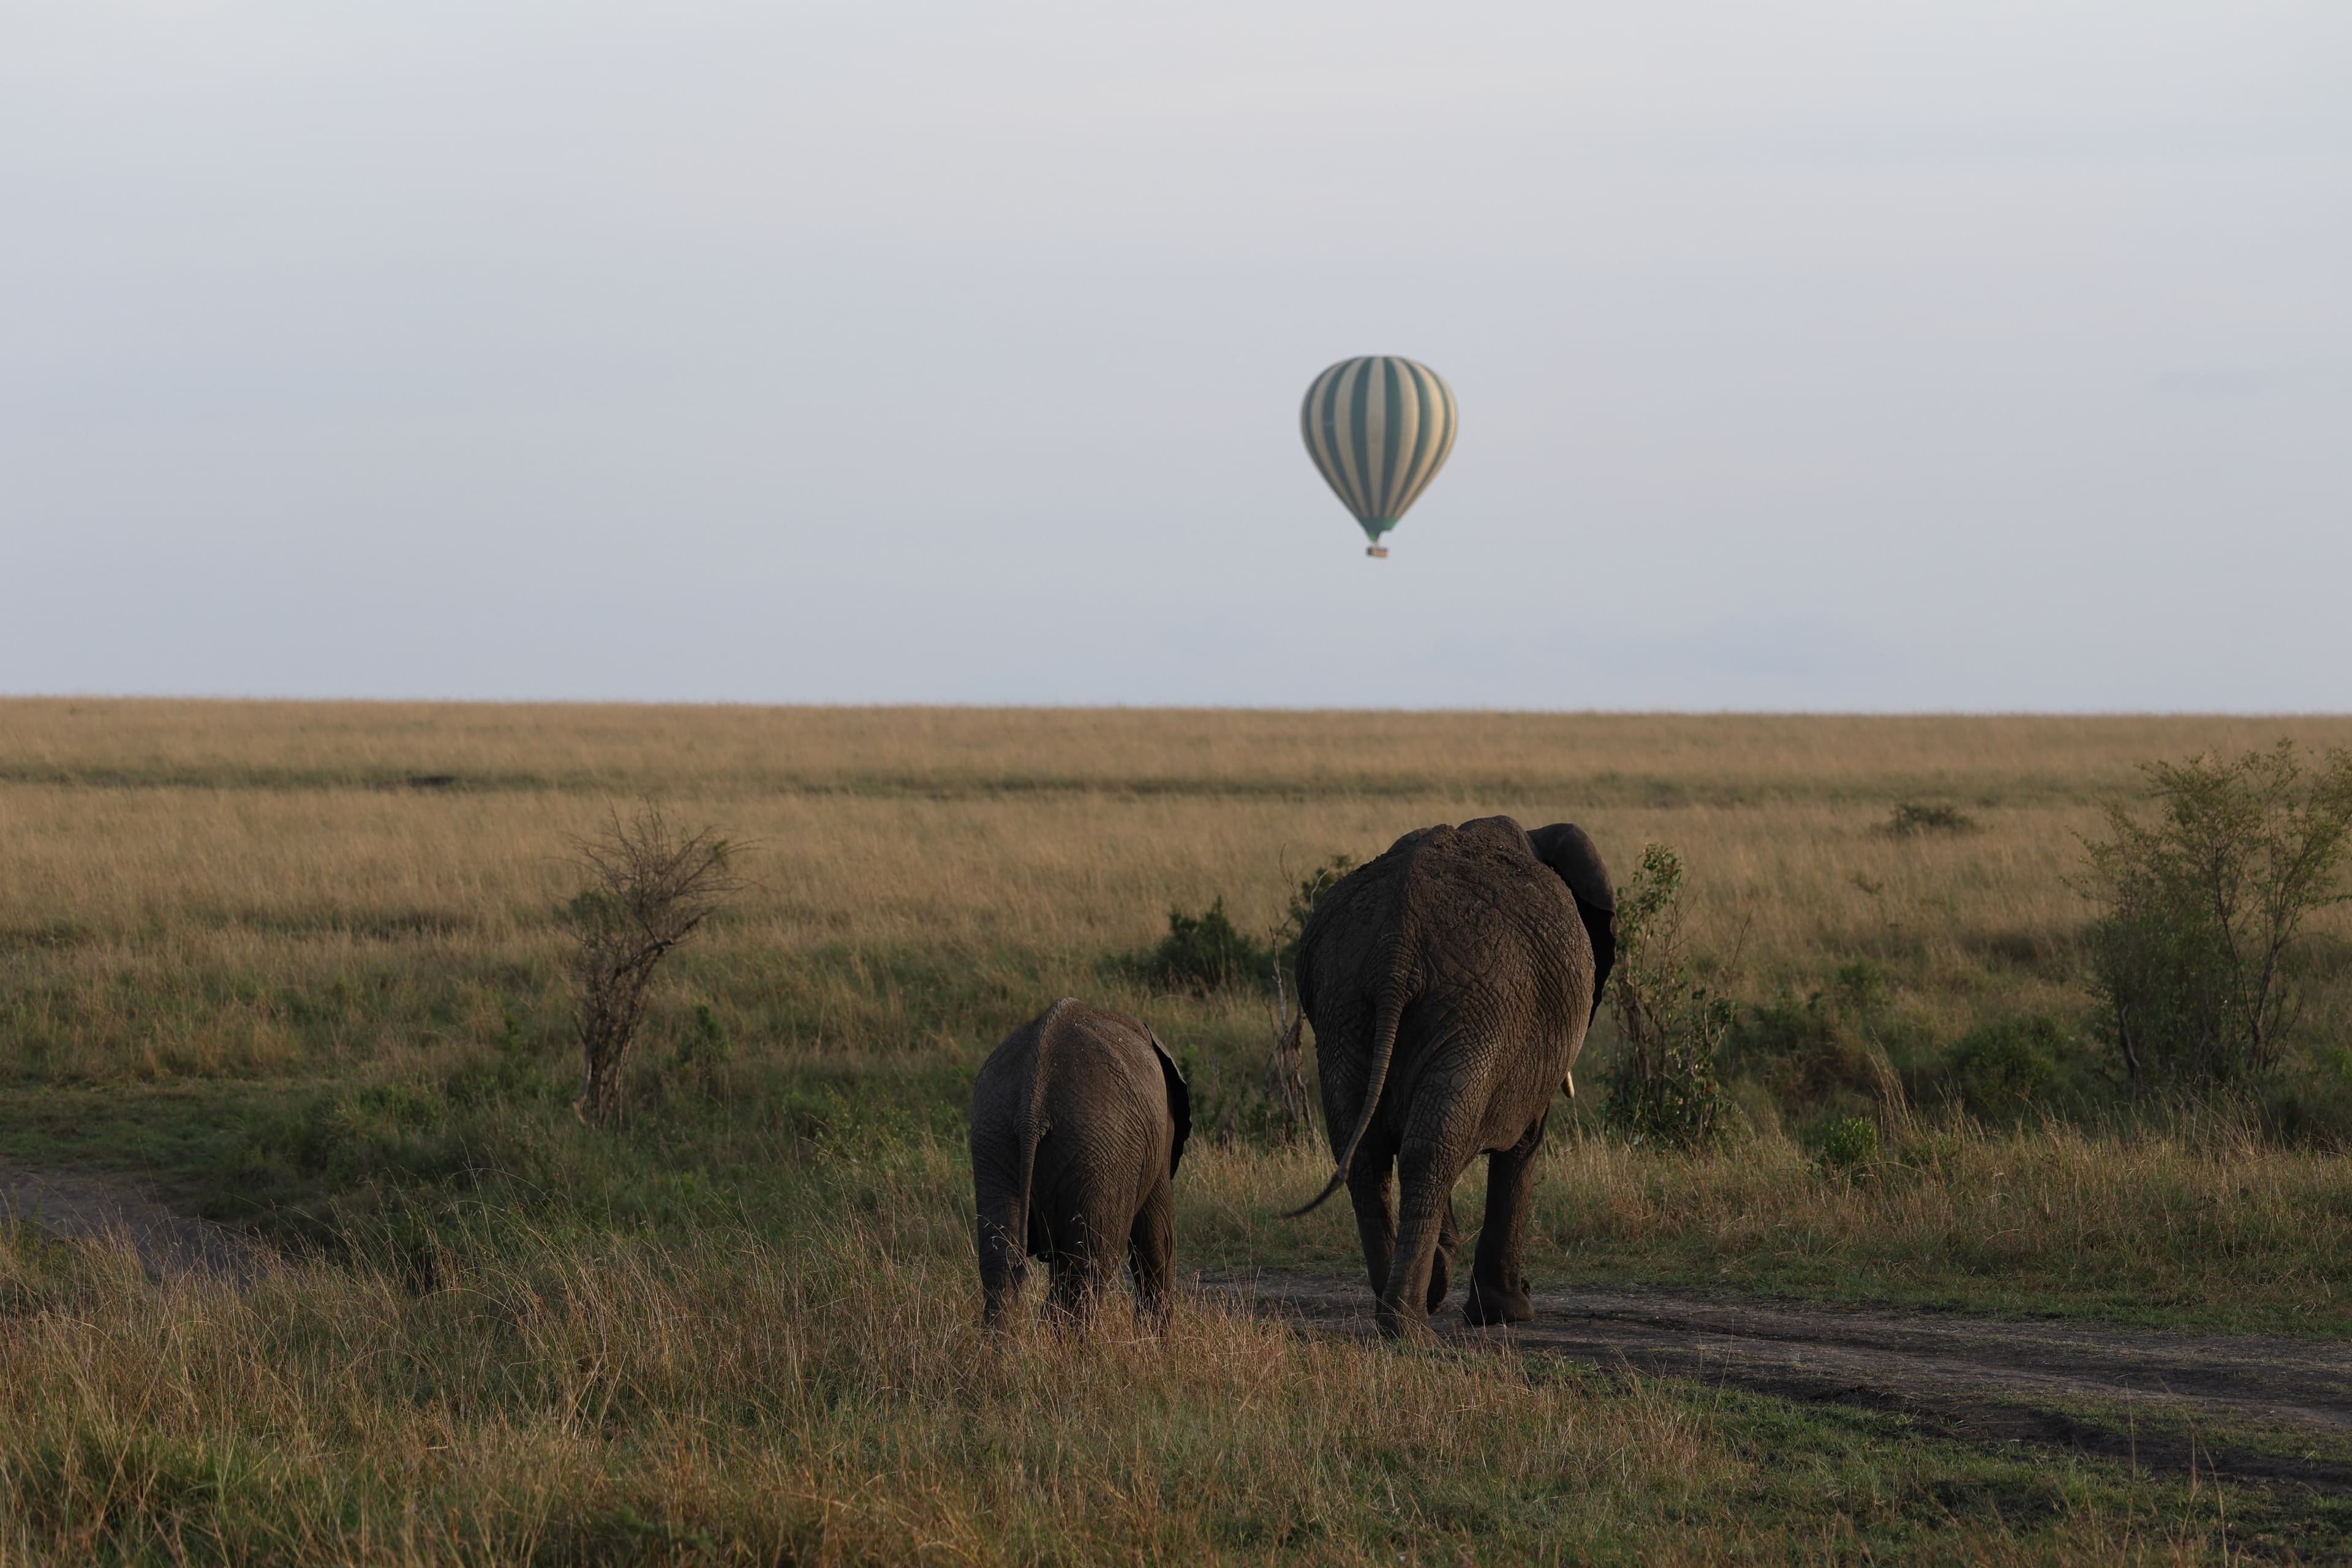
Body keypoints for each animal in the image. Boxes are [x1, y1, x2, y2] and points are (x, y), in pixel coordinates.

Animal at [970, 997, 1191, 1326]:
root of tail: (1031, 1106)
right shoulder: (1161, 1137)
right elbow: (1157, 1239)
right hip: (1100, 1148)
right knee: (1089, 1264)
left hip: (993, 1134)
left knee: (1003, 1262)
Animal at [1288, 815, 1613, 1338]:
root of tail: (1396, 944)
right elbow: (1524, 1143)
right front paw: (1508, 1314)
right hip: (1480, 1007)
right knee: (1433, 1149)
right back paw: (1411, 1323)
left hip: (1344, 1003)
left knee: (1372, 1151)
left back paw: (1406, 1305)